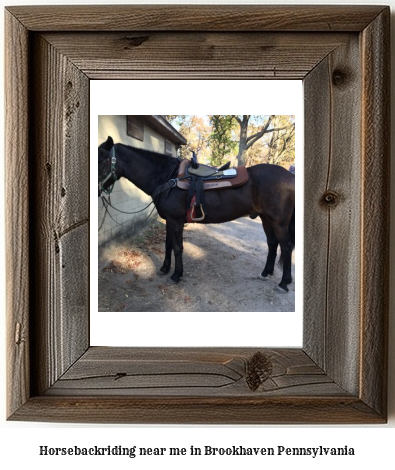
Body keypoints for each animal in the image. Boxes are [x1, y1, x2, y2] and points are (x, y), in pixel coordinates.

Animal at [100, 135, 296, 290]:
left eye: (101, 159)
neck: (167, 177)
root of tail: (290, 177)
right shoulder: (169, 220)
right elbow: (168, 245)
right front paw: (164, 269)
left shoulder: (176, 221)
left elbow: (177, 247)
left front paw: (176, 275)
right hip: (266, 219)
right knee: (272, 244)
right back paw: (265, 273)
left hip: (278, 222)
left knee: (285, 247)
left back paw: (283, 283)